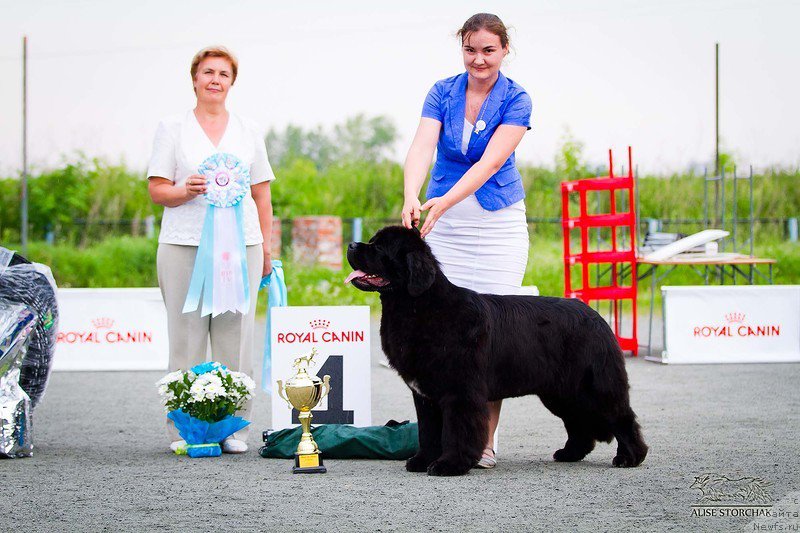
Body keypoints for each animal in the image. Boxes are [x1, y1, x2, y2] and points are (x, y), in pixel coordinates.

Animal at [346, 227, 648, 476]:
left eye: (379, 248)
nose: (350, 245)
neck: (419, 307)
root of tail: (596, 317)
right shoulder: (426, 396)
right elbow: (428, 431)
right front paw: (422, 461)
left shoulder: (460, 392)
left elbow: (456, 430)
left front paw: (449, 465)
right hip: (561, 393)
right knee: (579, 423)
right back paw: (569, 454)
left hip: (593, 387)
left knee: (622, 417)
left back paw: (630, 457)